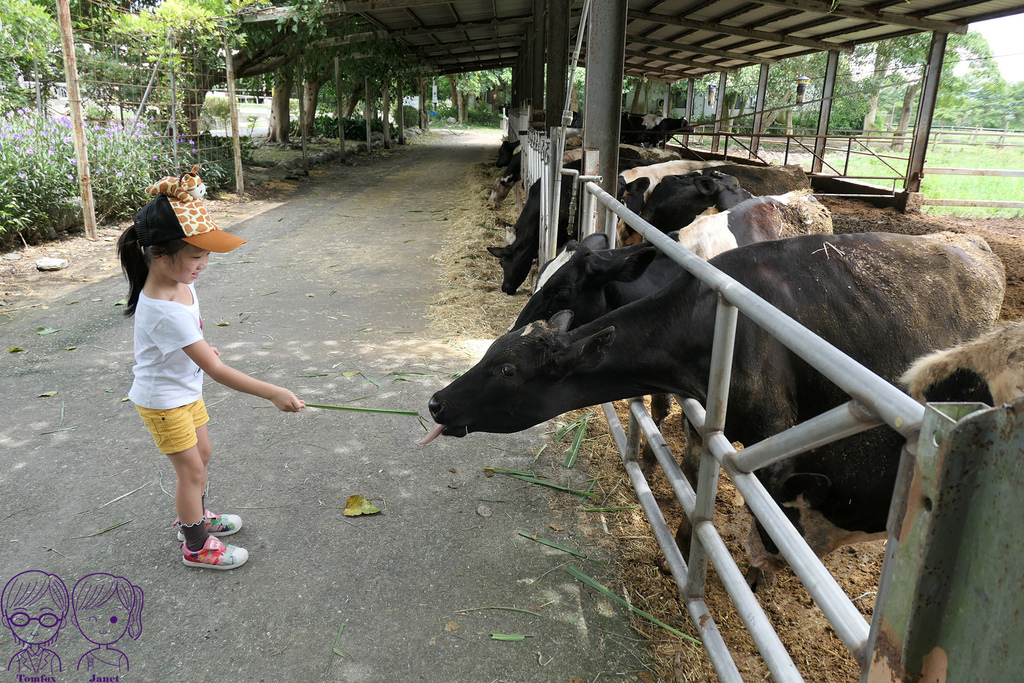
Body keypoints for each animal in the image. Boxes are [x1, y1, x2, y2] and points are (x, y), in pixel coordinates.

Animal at [423, 232, 1007, 565]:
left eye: (506, 369)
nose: (435, 403)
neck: (707, 326)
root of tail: (976, 246)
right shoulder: (707, 419)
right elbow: (692, 478)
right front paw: (682, 547)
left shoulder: (775, 439)